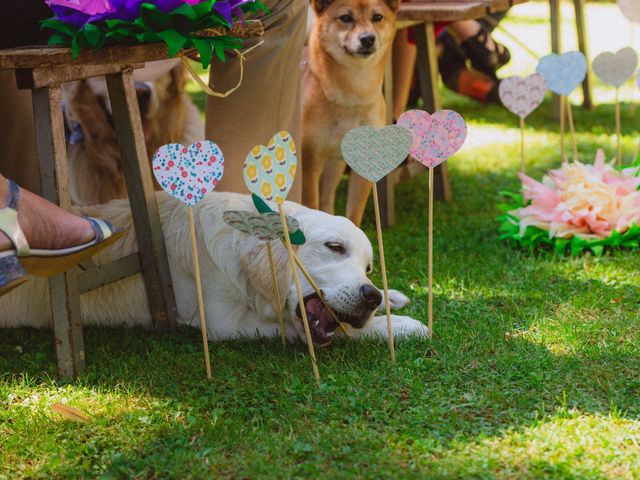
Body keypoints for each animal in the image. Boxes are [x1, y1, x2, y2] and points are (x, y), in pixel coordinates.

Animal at [302, 0, 400, 227]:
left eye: (377, 17)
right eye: (346, 18)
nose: (367, 38)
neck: (350, 99)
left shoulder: (363, 166)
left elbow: (354, 213)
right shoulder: (309, 161)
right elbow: (310, 205)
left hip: (334, 165)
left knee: (327, 201)